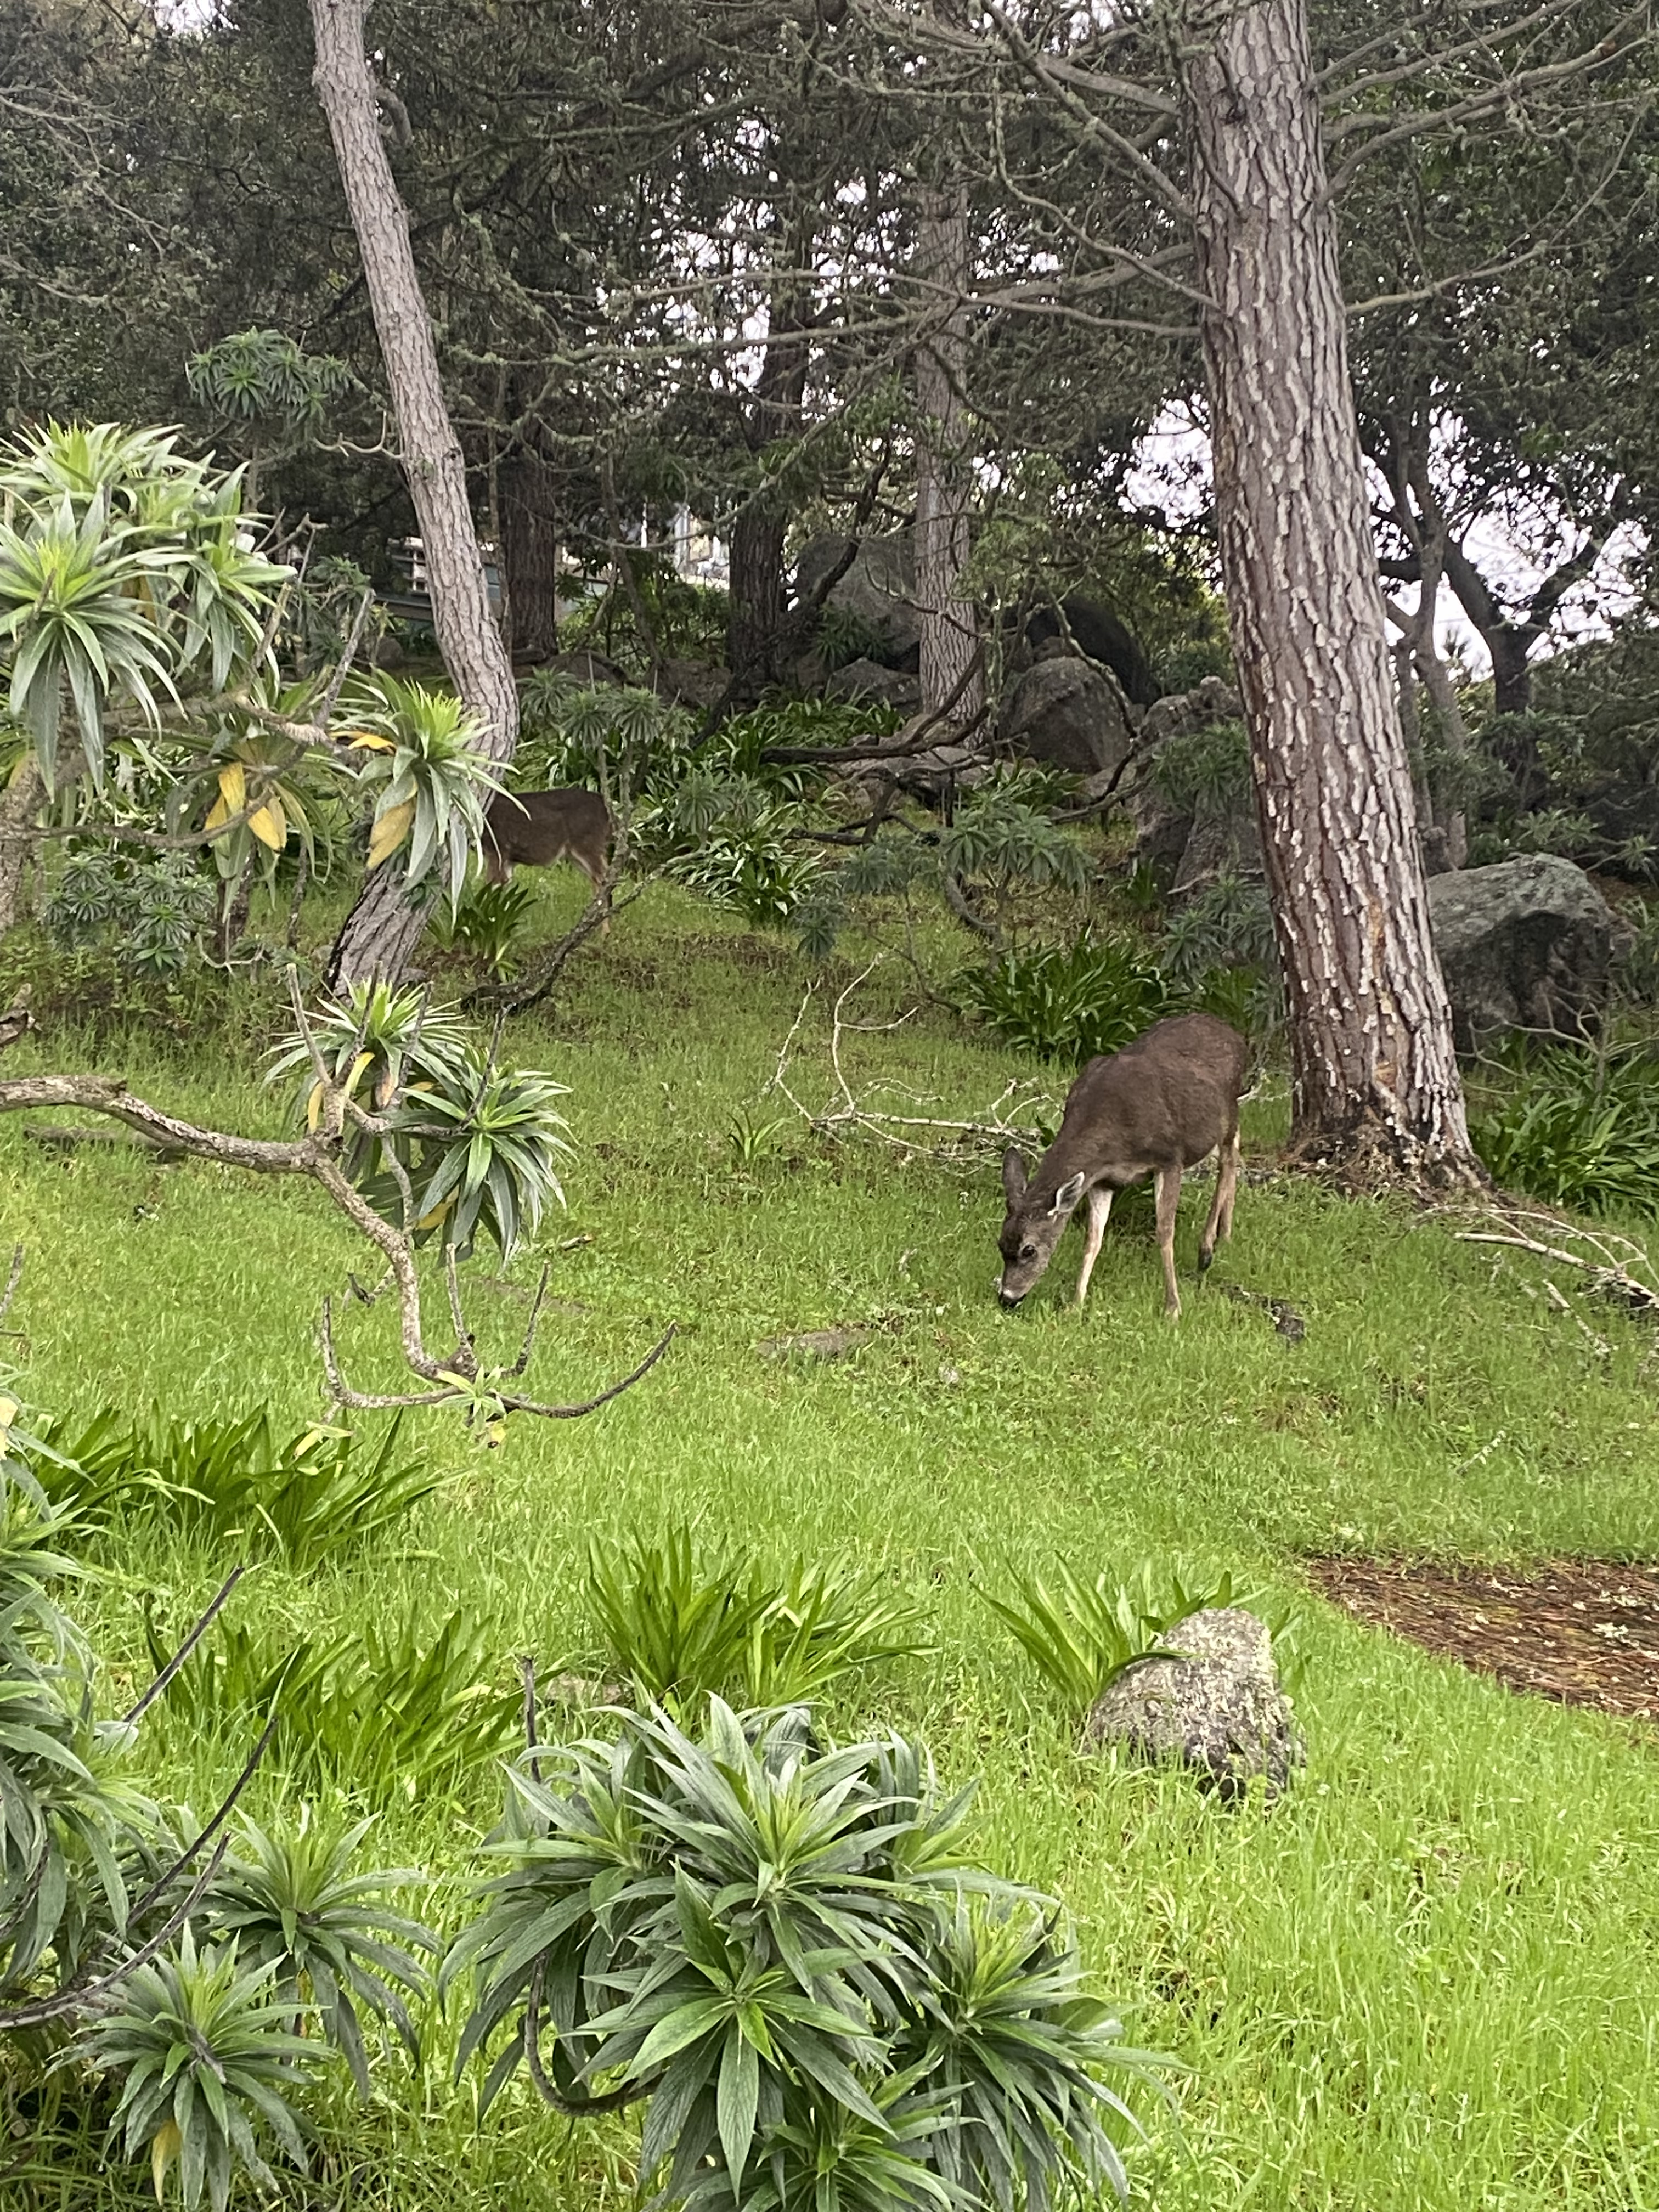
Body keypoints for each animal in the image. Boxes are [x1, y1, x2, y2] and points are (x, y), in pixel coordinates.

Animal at [481, 788, 615, 930]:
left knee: (604, 879)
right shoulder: (508, 860)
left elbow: (492, 887)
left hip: (588, 844)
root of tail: (606, 809)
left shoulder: (497, 850)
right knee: (599, 879)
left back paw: (604, 931)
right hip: (577, 853)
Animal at [997, 1011, 1249, 1318]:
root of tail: (1234, 1034)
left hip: (1228, 1111)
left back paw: (1207, 1249)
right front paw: (1075, 1305)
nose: (1007, 1298)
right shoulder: (1102, 1179)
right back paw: (1225, 1234)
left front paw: (1173, 1308)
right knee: (1235, 1150)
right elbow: (1093, 1240)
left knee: (1228, 1160)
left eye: (1029, 1250)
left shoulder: (1169, 1159)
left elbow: (1165, 1233)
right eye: (1001, 1244)